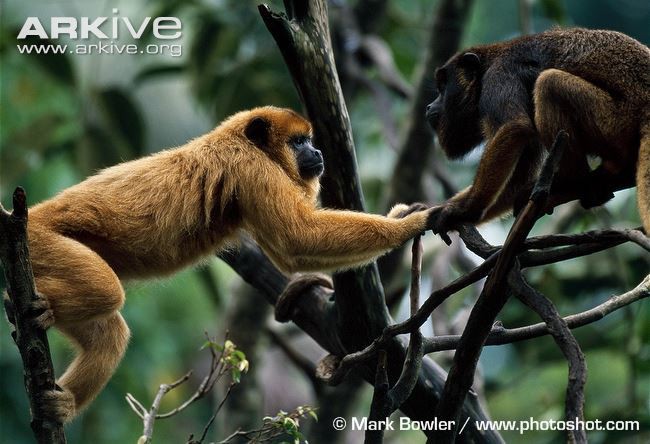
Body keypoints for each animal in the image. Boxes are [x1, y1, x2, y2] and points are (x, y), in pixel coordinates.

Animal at [7, 106, 430, 422]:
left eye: (310, 140)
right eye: (299, 142)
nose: (319, 152)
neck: (241, 141)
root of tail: (26, 216)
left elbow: (288, 251)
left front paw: (401, 216)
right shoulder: (253, 168)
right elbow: (297, 239)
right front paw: (408, 225)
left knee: (111, 330)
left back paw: (61, 399)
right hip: (43, 241)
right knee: (106, 290)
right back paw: (34, 307)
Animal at [422, 26, 644, 239]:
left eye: (443, 87)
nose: (429, 106)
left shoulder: (499, 76)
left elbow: (514, 127)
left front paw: (465, 210)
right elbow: (516, 179)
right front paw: (442, 211)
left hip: (614, 123)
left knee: (548, 83)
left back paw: (569, 182)